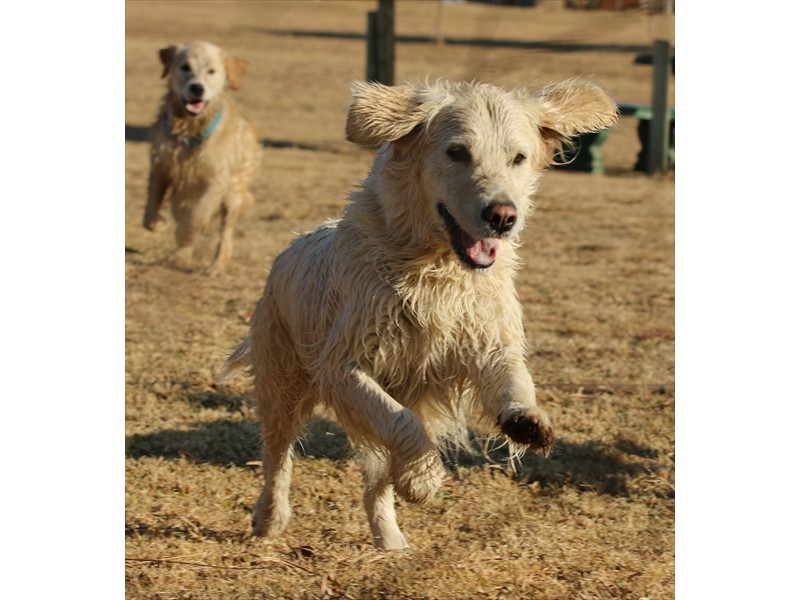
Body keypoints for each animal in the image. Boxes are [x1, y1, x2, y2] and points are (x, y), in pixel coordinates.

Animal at [141, 39, 260, 276]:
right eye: (185, 67)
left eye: (211, 71)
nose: (197, 88)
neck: (189, 131)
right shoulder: (161, 166)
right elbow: (151, 205)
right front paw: (157, 223)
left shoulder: (215, 180)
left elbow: (196, 219)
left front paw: (184, 239)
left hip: (234, 193)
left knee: (225, 233)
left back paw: (216, 265)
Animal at [220, 77, 620, 552]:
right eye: (457, 152)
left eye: (518, 158)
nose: (503, 216)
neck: (435, 268)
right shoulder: (343, 367)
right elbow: (404, 422)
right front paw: (423, 479)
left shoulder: (488, 342)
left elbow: (514, 382)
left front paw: (526, 421)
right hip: (283, 381)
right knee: (278, 456)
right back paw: (269, 517)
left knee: (375, 480)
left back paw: (390, 538)